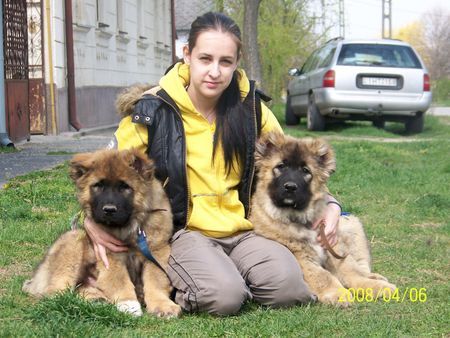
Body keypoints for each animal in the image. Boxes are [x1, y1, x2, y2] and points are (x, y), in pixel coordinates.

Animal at [22, 149, 181, 318]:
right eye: (98, 186)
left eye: (124, 187)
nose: (109, 210)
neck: (128, 227)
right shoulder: (109, 253)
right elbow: (119, 280)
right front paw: (128, 304)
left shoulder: (157, 251)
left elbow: (155, 280)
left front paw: (162, 305)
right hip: (73, 241)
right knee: (55, 291)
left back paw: (96, 299)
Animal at [251, 133, 396, 308]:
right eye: (280, 166)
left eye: (305, 170)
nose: (290, 187)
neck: (302, 219)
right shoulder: (302, 257)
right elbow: (323, 276)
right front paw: (338, 294)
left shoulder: (333, 247)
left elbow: (352, 271)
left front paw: (375, 287)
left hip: (351, 223)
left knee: (361, 265)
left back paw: (376, 278)